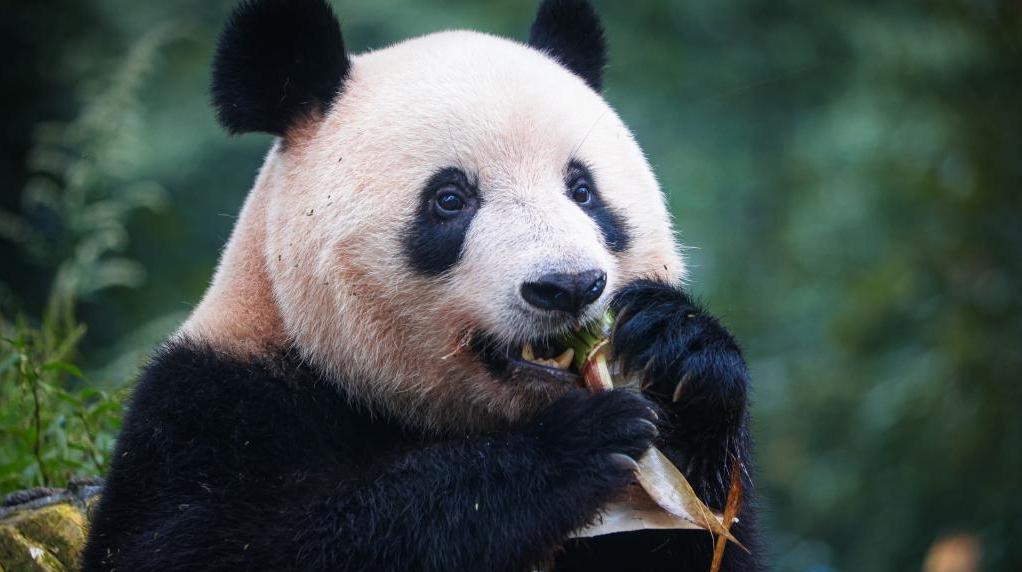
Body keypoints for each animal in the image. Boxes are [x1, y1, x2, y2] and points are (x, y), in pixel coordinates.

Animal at [81, 0, 760, 567]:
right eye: (450, 199)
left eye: (583, 190)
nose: (568, 286)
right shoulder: (210, 412)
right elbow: (213, 546)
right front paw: (571, 448)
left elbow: (698, 534)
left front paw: (682, 351)